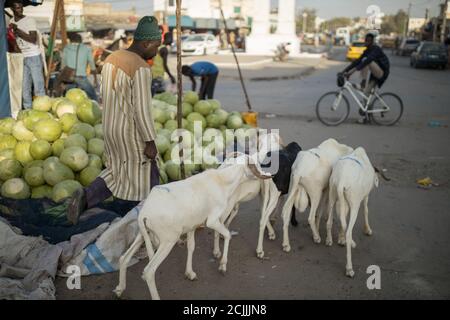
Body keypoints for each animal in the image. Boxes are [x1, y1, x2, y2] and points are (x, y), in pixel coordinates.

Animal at [114, 154, 272, 300]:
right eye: (255, 165)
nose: (267, 174)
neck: (221, 182)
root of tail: (145, 214)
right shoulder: (212, 221)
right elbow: (227, 235)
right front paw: (222, 266)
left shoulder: (191, 227)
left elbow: (191, 247)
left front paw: (190, 273)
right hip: (168, 241)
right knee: (149, 271)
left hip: (142, 235)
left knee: (123, 258)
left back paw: (119, 289)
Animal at [326, 148, 378, 278]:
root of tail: (342, 181)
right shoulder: (364, 196)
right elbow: (366, 209)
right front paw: (367, 230)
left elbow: (342, 216)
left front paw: (340, 238)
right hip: (354, 202)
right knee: (349, 231)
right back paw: (349, 268)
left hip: (333, 191)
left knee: (330, 219)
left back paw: (330, 240)